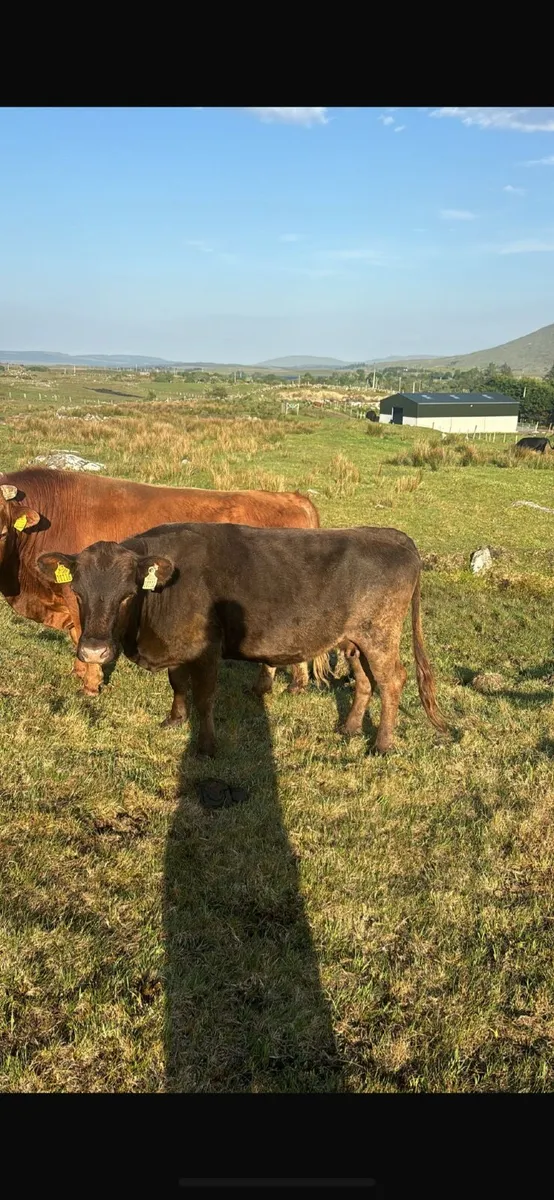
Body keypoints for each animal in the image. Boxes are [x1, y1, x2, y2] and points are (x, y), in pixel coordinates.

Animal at [37, 522, 448, 757]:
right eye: (77, 592)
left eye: (127, 594)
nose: (94, 650)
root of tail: (393, 536)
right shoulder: (179, 648)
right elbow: (178, 685)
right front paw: (174, 720)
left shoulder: (206, 649)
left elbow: (204, 697)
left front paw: (206, 746)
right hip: (354, 640)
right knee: (364, 681)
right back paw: (348, 728)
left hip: (380, 636)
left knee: (392, 681)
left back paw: (381, 745)